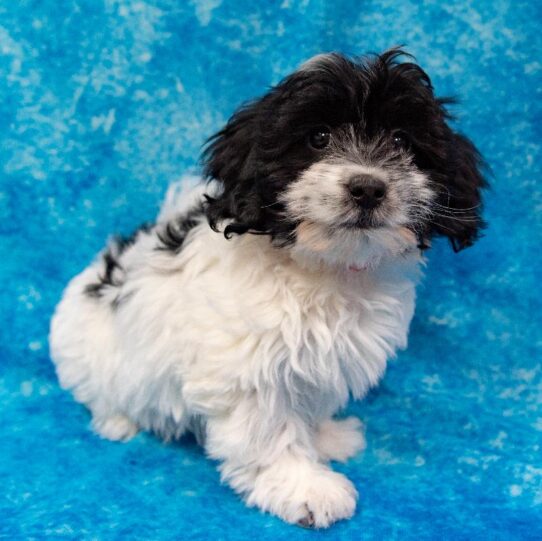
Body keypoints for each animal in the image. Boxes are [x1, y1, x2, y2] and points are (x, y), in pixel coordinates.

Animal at [49, 49, 486, 528]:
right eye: (318, 137)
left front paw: (326, 437)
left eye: (401, 141)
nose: (368, 187)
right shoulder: (249, 370)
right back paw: (118, 421)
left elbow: (311, 403)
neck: (323, 267)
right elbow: (270, 430)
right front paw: (305, 487)